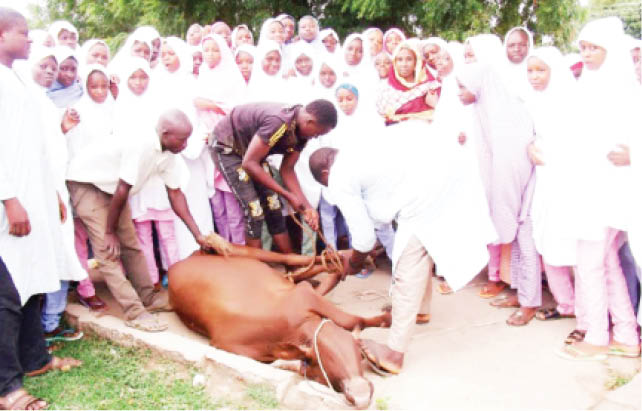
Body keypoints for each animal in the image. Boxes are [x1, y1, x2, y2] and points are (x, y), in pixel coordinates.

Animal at [169, 253, 390, 410]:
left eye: (357, 350)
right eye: (326, 361)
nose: (361, 395)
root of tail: (175, 265)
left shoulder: (304, 296)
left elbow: (351, 319)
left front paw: (386, 319)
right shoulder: (229, 345)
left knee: (295, 267)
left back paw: (338, 264)